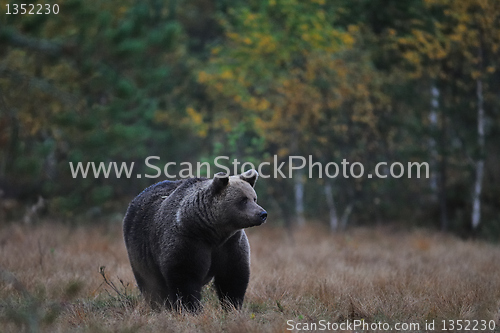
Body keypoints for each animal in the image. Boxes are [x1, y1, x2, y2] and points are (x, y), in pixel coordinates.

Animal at [123, 169, 268, 312]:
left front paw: (232, 306)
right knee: (150, 283)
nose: (262, 214)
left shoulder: (231, 243)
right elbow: (185, 276)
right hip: (141, 247)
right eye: (243, 200)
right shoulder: (188, 240)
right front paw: (190, 308)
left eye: (254, 198)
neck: (214, 232)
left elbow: (232, 276)